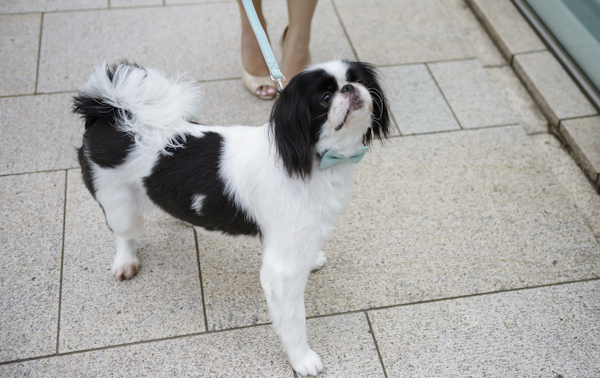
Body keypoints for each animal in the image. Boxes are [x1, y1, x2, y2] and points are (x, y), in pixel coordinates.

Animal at [72, 59, 392, 376]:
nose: (349, 88)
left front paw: (312, 260)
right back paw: (125, 261)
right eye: (325, 98)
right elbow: (293, 321)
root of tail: (110, 111)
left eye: (357, 79)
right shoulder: (281, 272)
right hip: (120, 204)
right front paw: (302, 359)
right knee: (124, 233)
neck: (311, 160)